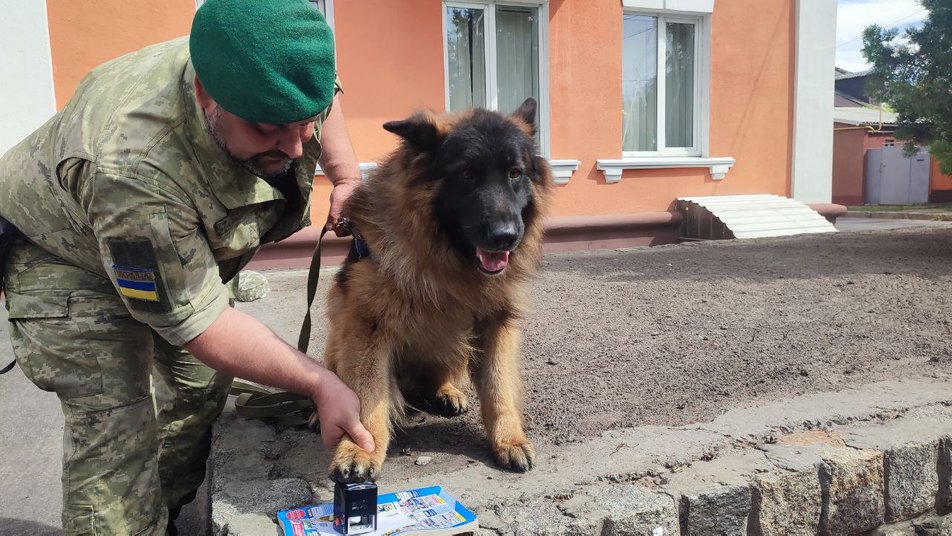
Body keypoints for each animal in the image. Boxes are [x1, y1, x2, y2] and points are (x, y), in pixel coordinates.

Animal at [326, 96, 556, 482]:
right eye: (466, 174)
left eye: (515, 173)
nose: (506, 237)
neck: (447, 265)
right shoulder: (368, 327)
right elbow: (368, 395)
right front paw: (361, 447)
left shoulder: (497, 324)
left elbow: (498, 386)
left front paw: (508, 439)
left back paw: (447, 392)